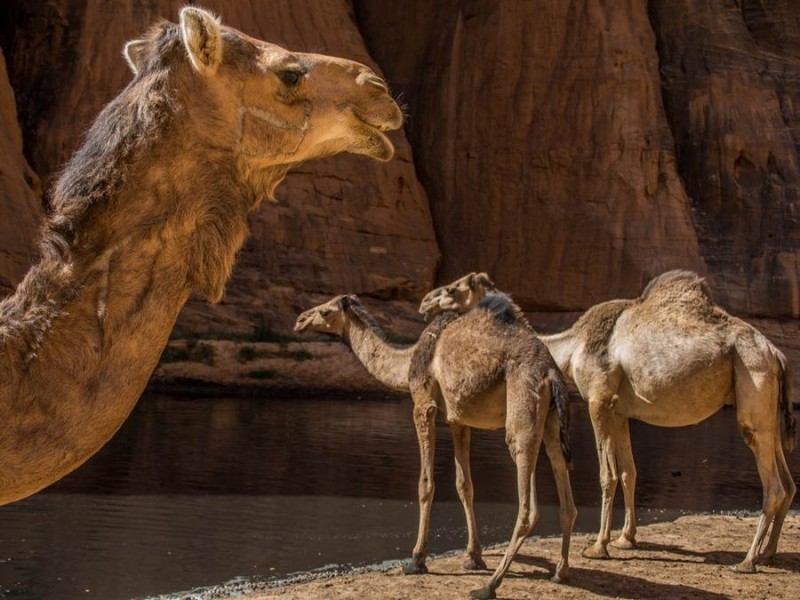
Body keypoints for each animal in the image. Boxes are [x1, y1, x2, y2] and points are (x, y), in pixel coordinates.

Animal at [294, 296, 576, 600]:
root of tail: (552, 373)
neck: (407, 360)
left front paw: (416, 560)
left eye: (325, 311)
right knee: (565, 490)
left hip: (523, 410)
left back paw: (488, 586)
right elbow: (464, 486)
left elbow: (425, 484)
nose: (299, 321)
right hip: (551, 420)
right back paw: (560, 572)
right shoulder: (458, 418)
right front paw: (473, 557)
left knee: (528, 506)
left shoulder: (423, 403)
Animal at [422, 270, 796, 572]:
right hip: (768, 410)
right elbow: (629, 472)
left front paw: (598, 546)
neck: (572, 347)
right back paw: (768, 554)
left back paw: (747, 561)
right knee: (788, 481)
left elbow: (608, 474)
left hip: (753, 382)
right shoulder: (619, 411)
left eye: (455, 288)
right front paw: (625, 539)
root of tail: (777, 354)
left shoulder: (598, 400)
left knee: (774, 486)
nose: (425, 302)